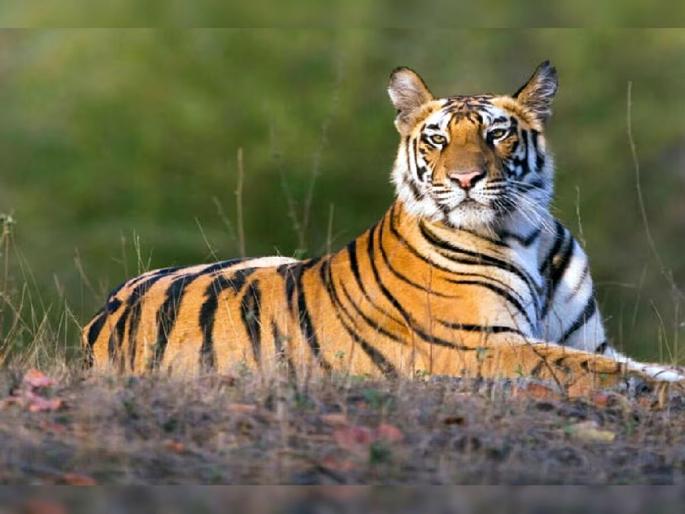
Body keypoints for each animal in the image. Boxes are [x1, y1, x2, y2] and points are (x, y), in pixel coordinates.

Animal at [82, 61, 684, 395]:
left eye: (497, 134)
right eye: (438, 139)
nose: (465, 179)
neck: (525, 235)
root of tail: (100, 319)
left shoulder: (589, 338)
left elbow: (636, 362)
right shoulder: (483, 344)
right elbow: (592, 369)